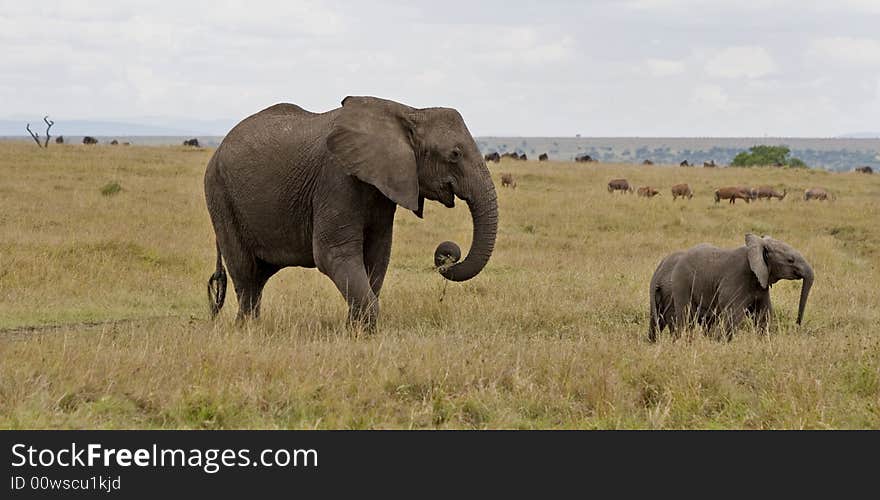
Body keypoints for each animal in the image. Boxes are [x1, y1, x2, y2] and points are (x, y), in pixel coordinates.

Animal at [202, 95, 498, 326]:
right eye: (455, 155)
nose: (446, 256)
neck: (410, 112)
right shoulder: (336, 179)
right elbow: (334, 254)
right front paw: (363, 330)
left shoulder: (382, 188)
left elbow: (378, 255)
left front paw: (353, 329)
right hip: (219, 194)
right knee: (246, 273)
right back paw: (248, 330)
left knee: (259, 276)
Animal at [648, 233, 816, 340]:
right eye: (790, 260)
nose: (797, 324)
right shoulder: (736, 279)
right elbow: (734, 315)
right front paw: (719, 343)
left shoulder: (761, 282)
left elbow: (764, 314)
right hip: (681, 284)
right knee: (685, 317)